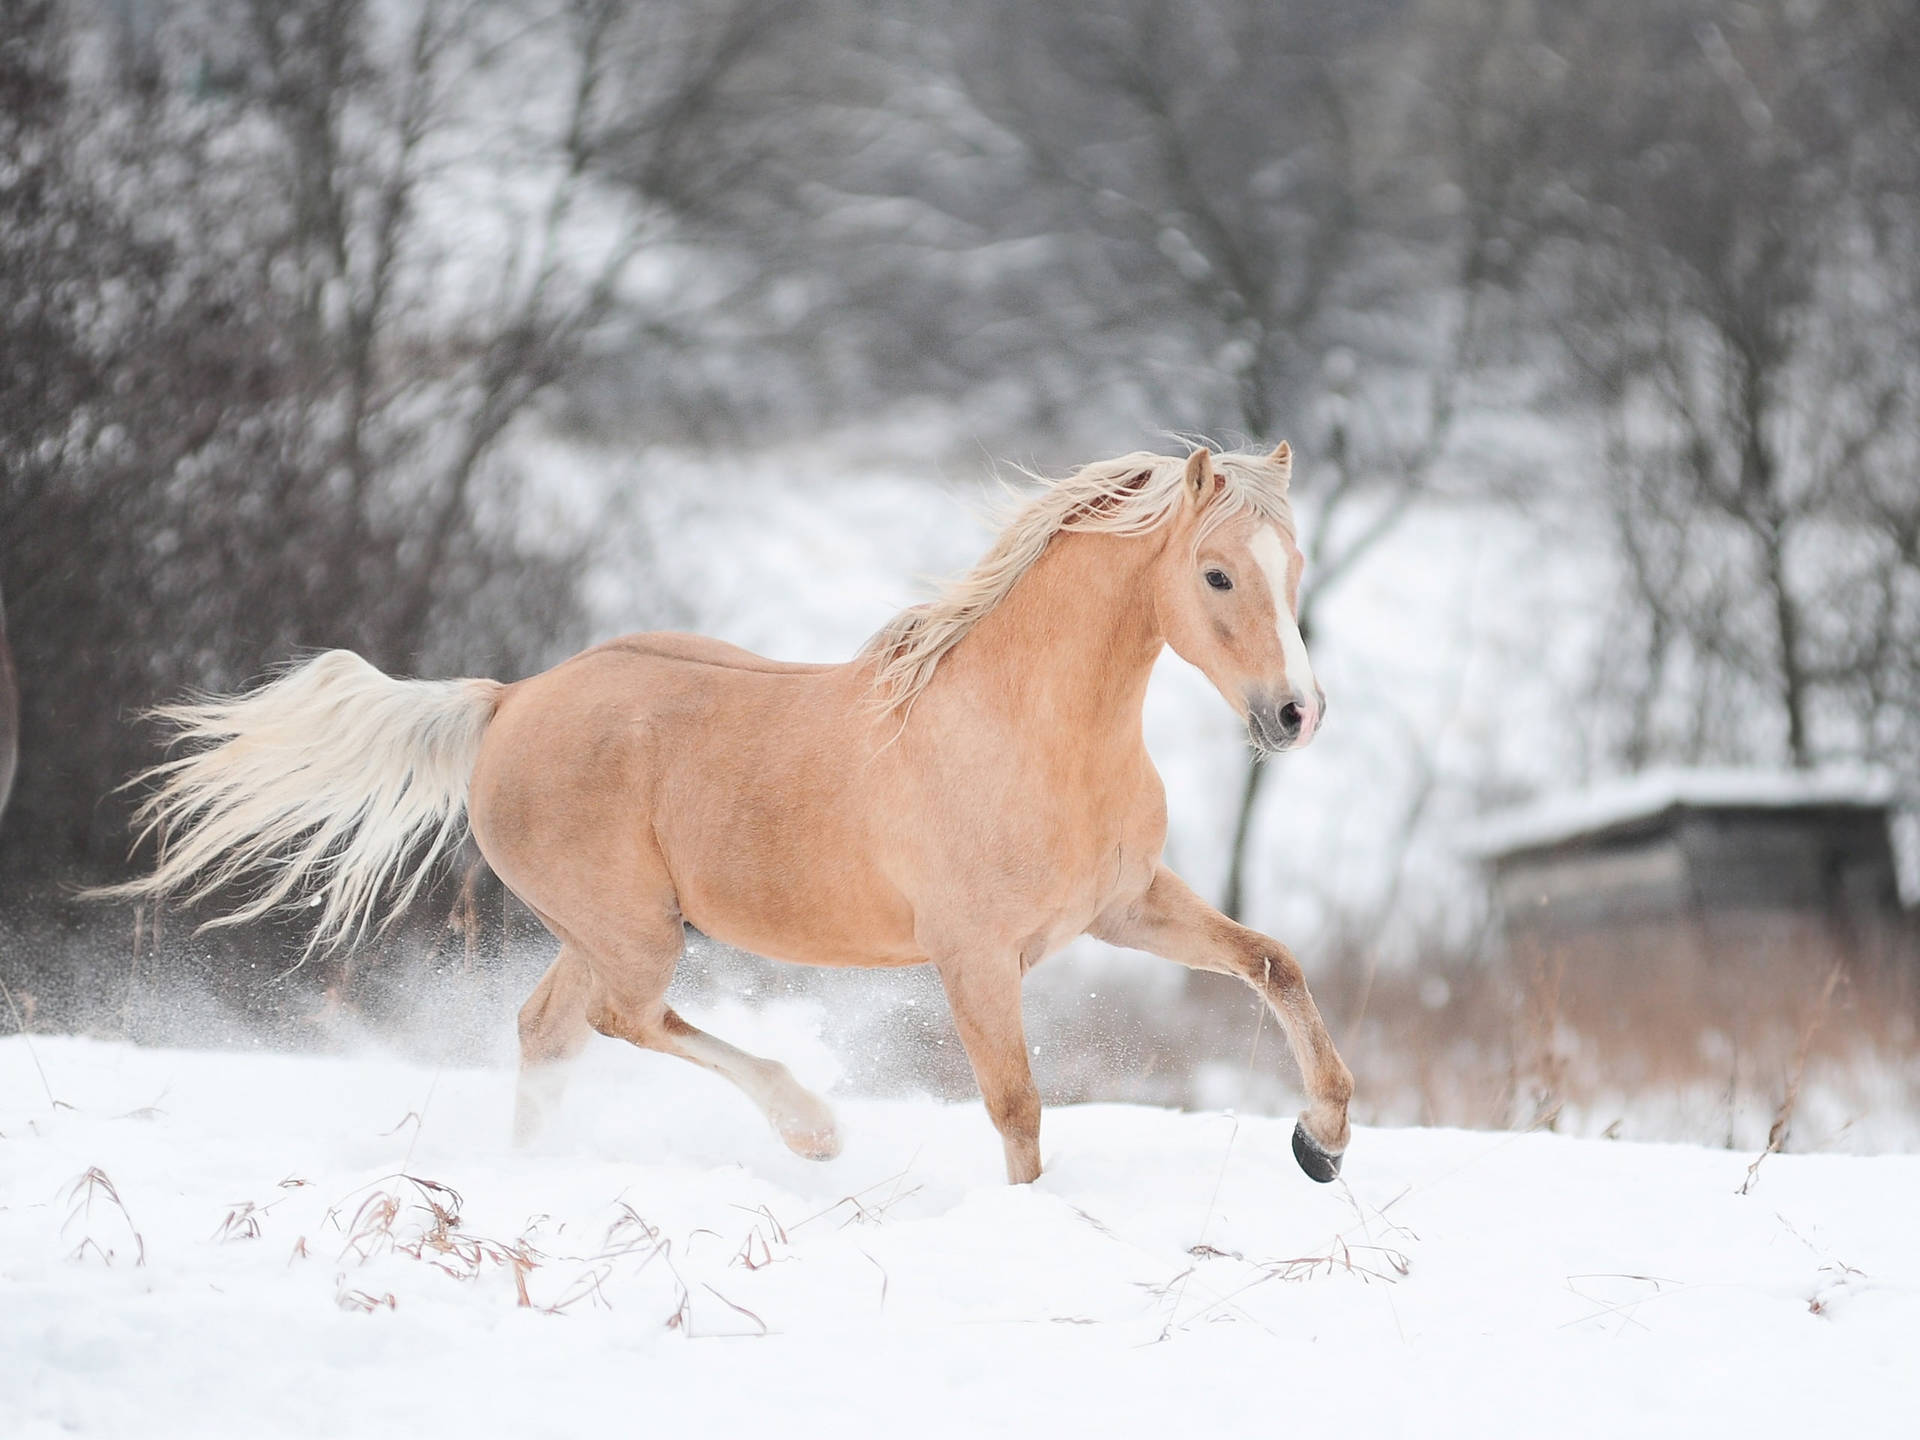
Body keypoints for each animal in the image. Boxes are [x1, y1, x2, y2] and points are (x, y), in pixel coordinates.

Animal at [105, 444, 1354, 1185]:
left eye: (1293, 564)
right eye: (1217, 575)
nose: (1296, 714)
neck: (1025, 730)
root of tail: (507, 702)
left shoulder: (1126, 907)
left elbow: (1276, 965)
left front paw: (1323, 1141)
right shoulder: (974, 956)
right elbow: (1018, 1108)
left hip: (601, 931)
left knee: (549, 1030)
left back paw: (535, 1177)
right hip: (635, 930)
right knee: (622, 1021)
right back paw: (808, 1126)